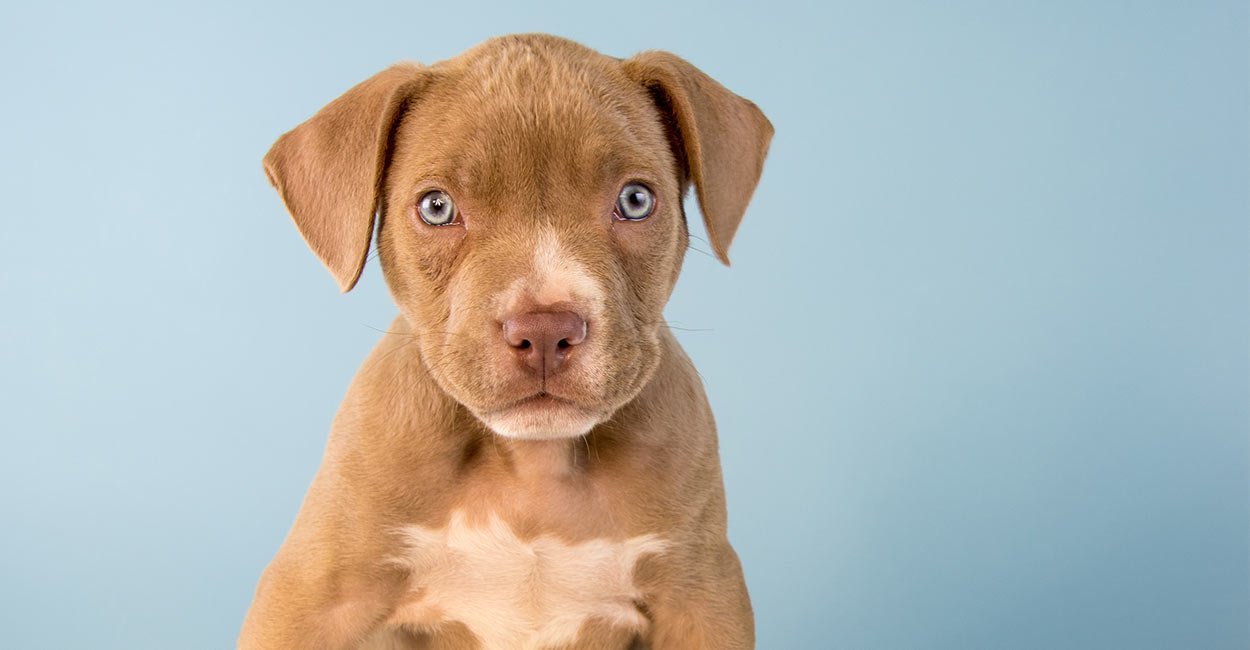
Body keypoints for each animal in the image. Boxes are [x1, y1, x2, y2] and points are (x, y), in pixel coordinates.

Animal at [238, 32, 770, 645]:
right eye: (437, 207)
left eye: (635, 200)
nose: (544, 329)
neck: (532, 463)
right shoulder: (307, 599)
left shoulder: (703, 596)